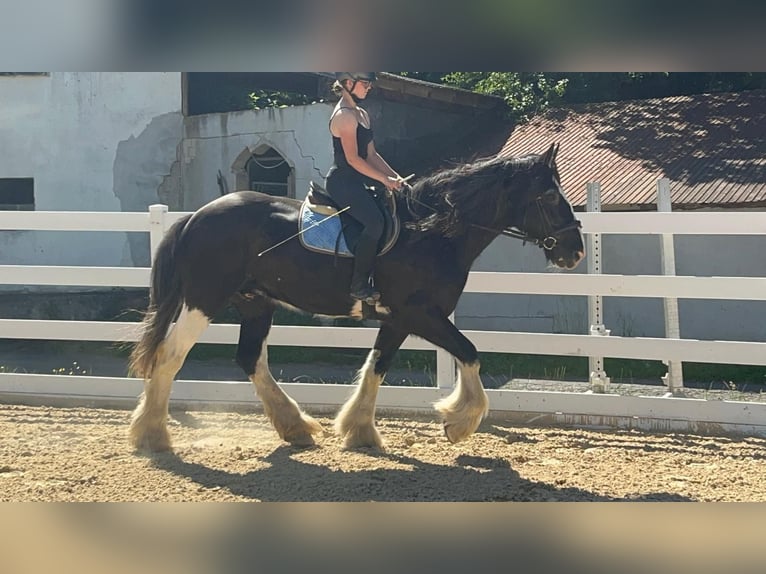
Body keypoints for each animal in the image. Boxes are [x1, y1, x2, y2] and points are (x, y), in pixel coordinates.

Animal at [128, 143, 585, 452]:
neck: (432, 232)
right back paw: (151, 433)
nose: (575, 251)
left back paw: (295, 426)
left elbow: (377, 367)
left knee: (250, 359)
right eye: (549, 195)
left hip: (255, 302)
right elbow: (469, 353)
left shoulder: (398, 319)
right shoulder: (421, 314)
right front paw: (459, 422)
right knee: (169, 356)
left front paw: (359, 429)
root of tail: (196, 216)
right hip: (203, 300)